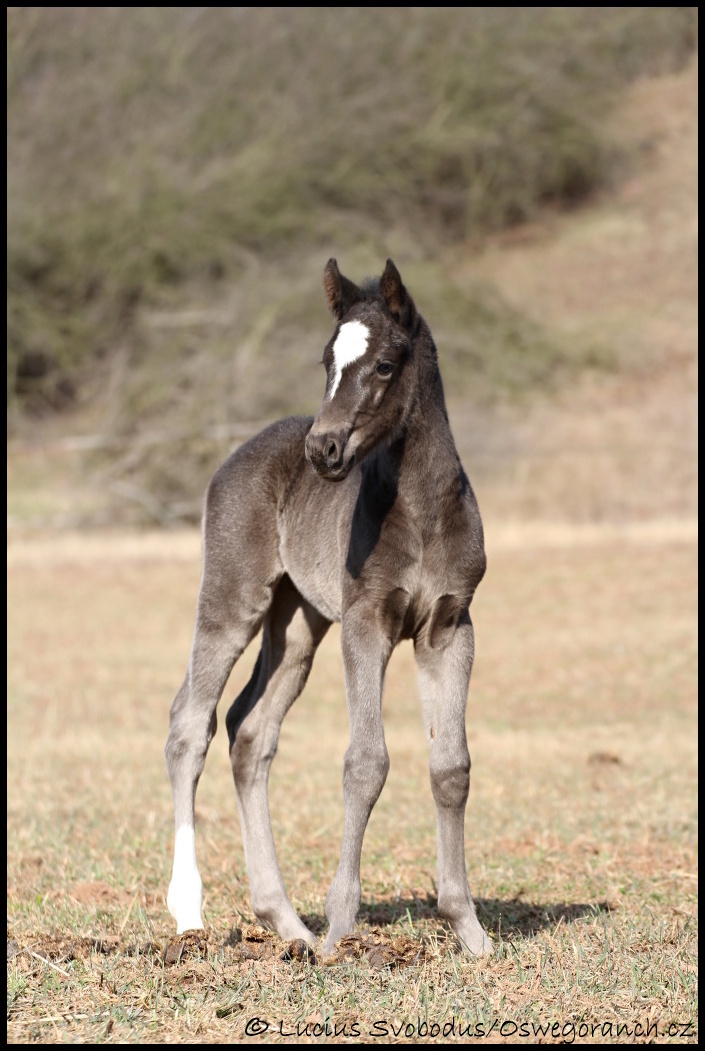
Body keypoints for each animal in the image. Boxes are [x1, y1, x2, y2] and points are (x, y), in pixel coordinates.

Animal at [166, 258, 493, 958]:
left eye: (385, 365)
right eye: (326, 361)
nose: (324, 451)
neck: (421, 513)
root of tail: (233, 457)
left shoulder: (449, 627)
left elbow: (451, 766)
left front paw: (470, 930)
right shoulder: (366, 624)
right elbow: (365, 763)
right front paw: (343, 928)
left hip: (297, 624)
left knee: (249, 731)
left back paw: (288, 926)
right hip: (233, 597)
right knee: (190, 725)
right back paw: (189, 913)